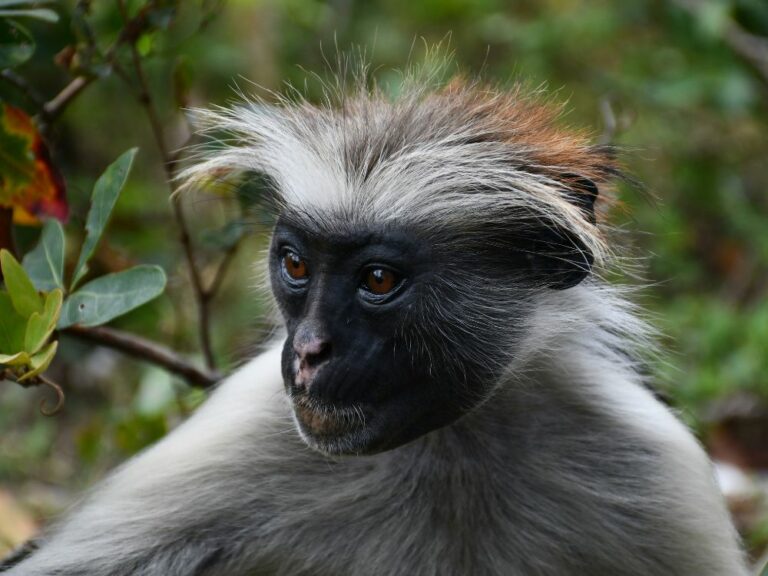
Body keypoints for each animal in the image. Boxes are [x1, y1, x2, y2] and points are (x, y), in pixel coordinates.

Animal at [1, 70, 749, 575]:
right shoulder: (244, 432)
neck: (449, 442)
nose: (307, 351)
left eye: (378, 281)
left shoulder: (653, 472)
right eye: (295, 265)